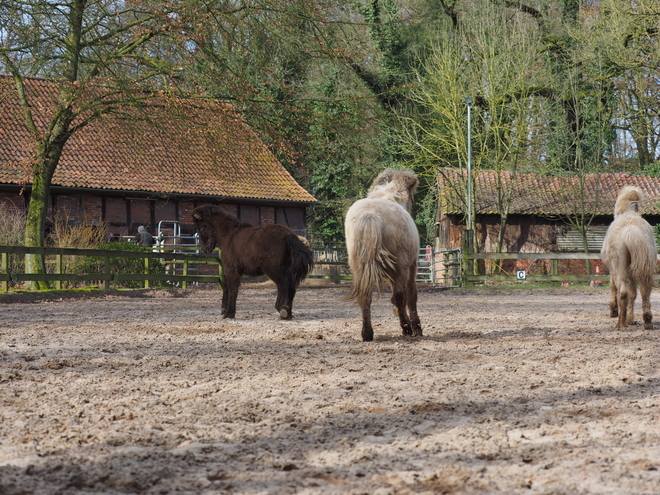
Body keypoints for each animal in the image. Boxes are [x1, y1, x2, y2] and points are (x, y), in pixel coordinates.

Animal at [346, 169, 422, 342]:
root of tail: (369, 215)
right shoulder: (411, 265)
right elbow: (411, 296)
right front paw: (417, 328)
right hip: (401, 265)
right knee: (401, 296)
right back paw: (407, 328)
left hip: (358, 267)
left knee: (365, 296)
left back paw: (367, 333)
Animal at [600, 186, 656, 330]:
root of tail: (632, 230)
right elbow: (633, 294)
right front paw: (630, 319)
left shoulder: (613, 270)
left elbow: (613, 288)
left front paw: (614, 311)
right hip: (644, 269)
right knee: (645, 292)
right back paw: (647, 321)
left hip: (620, 269)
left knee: (623, 293)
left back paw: (620, 323)